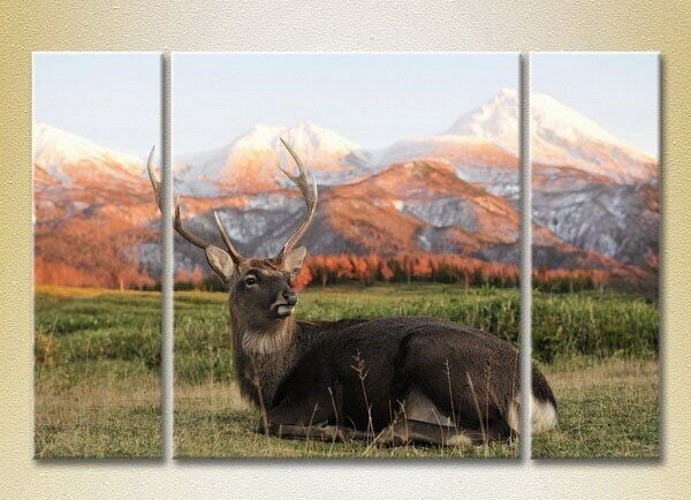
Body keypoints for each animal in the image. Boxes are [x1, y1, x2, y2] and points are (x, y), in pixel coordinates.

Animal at [147, 140, 557, 447]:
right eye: (250, 278)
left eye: (287, 275)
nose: (288, 296)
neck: (272, 379)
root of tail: (543, 400)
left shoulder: (317, 393)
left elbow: (266, 423)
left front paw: (333, 429)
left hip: (434, 354)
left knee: (498, 429)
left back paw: (374, 431)